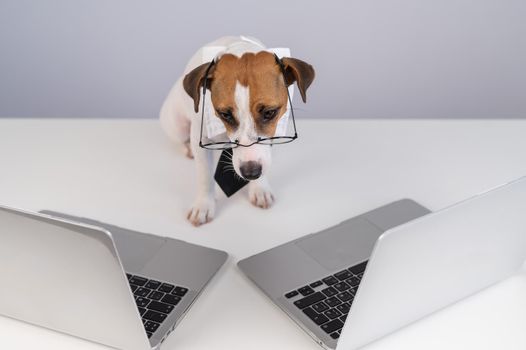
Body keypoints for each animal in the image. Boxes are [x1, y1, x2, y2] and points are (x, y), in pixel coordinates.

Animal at [161, 36, 316, 227]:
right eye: (225, 114)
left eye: (269, 113)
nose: (251, 173)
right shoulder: (201, 136)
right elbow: (205, 175)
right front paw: (204, 204)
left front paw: (259, 187)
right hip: (177, 126)